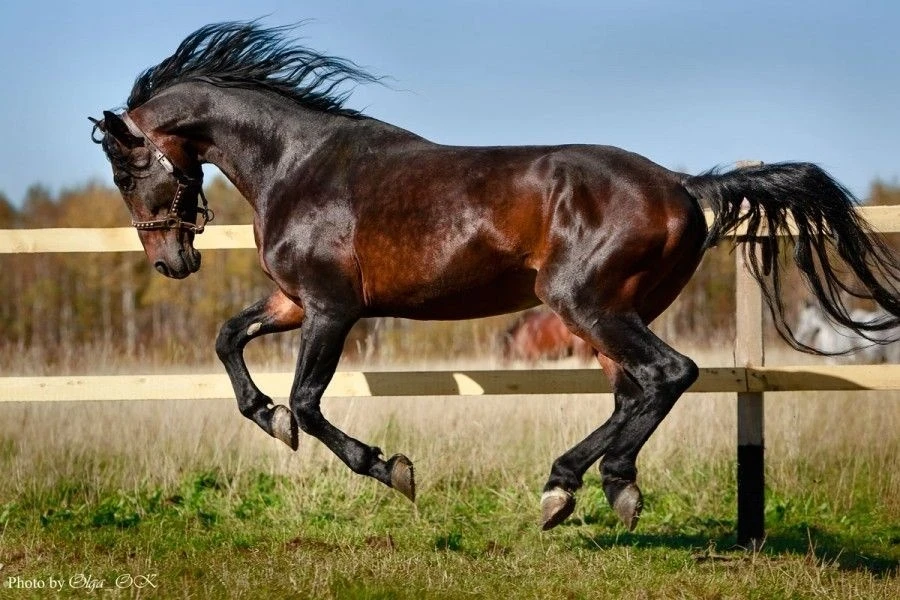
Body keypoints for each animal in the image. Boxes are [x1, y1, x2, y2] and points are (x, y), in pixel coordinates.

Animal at [90, 22, 900, 532]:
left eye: (127, 170)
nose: (171, 262)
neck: (298, 164)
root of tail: (682, 186)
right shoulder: (291, 301)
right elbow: (230, 339)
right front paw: (269, 420)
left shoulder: (330, 308)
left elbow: (311, 403)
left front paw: (390, 468)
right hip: (606, 315)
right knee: (635, 389)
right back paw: (598, 487)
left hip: (584, 304)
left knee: (669, 374)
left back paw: (573, 485)